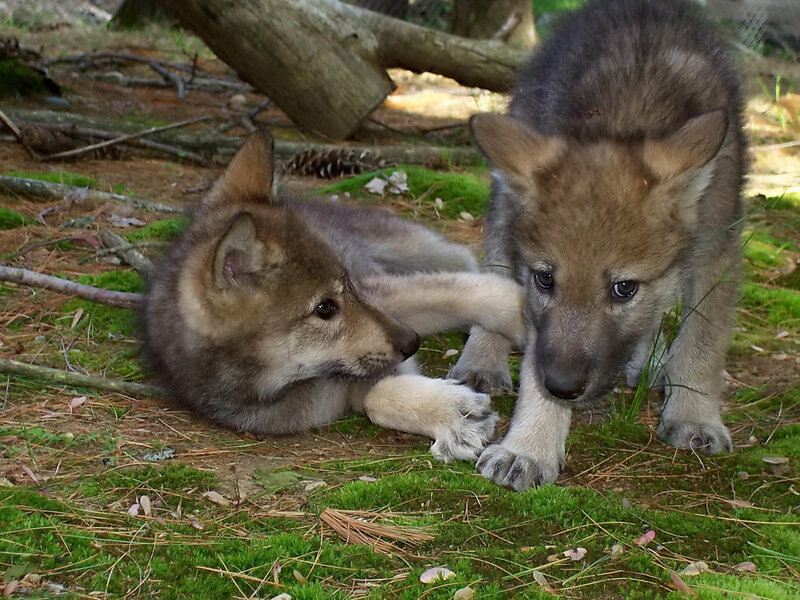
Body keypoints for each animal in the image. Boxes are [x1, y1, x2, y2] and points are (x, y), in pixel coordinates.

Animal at [141, 131, 527, 463]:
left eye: (348, 283)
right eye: (325, 308)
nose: (412, 342)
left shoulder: (383, 294)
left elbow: (472, 291)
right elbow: (376, 397)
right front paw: (453, 415)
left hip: (424, 253)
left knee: (468, 266)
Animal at [448, 0, 747, 489]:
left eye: (624, 289)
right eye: (545, 280)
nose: (562, 386)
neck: (629, 115)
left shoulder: (716, 245)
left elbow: (702, 339)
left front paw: (695, 414)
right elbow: (535, 355)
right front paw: (529, 447)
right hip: (504, 200)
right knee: (493, 270)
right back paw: (483, 361)